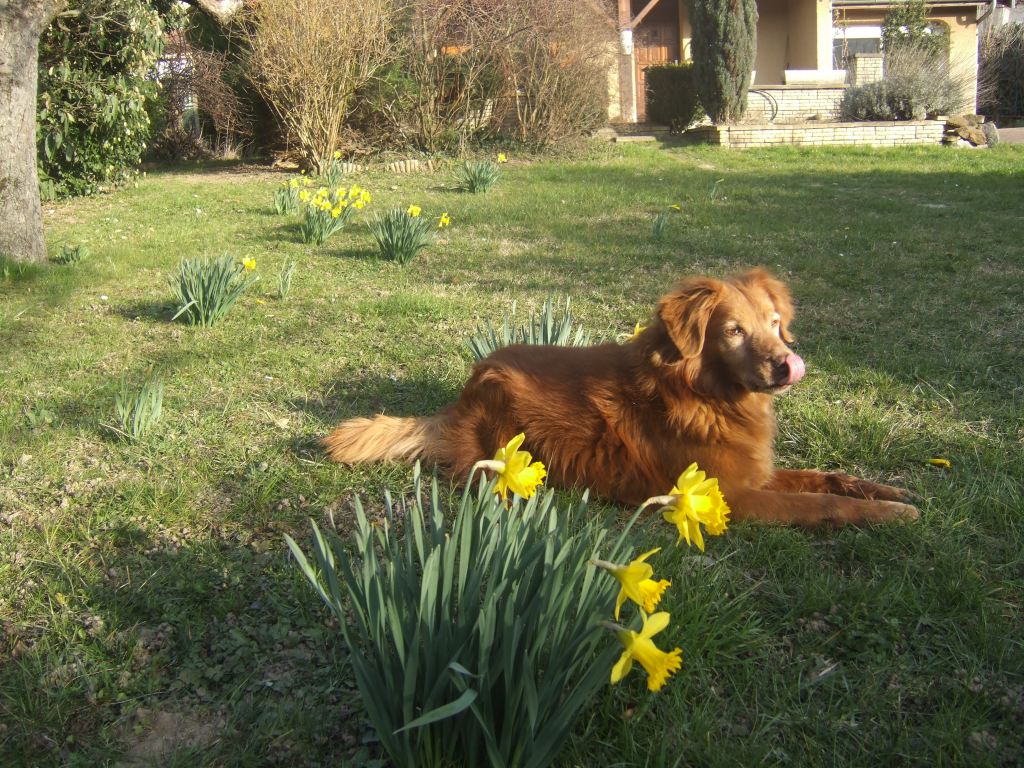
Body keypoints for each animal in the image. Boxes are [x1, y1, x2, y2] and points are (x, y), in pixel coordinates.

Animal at [324, 269, 919, 527]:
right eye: (734, 331)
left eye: (775, 324)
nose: (787, 365)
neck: (704, 396)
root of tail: (461, 396)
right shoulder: (730, 496)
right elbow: (818, 502)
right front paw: (892, 514)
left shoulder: (755, 473)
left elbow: (826, 477)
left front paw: (888, 491)